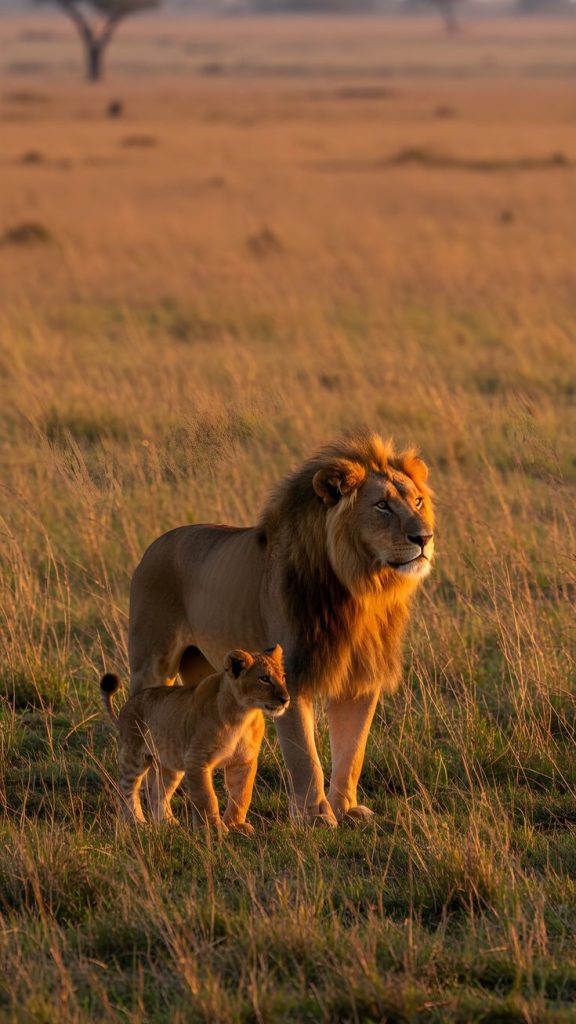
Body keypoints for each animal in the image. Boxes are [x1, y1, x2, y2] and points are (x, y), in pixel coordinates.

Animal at [101, 645, 289, 833]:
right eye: (264, 678)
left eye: (283, 677)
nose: (286, 699)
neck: (244, 714)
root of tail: (127, 704)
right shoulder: (197, 758)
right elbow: (206, 797)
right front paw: (213, 829)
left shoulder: (244, 761)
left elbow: (242, 794)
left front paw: (235, 825)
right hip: (134, 756)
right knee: (126, 790)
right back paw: (136, 823)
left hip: (171, 764)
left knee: (158, 793)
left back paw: (167, 822)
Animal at [126, 431, 434, 826]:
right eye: (382, 505)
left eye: (417, 501)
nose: (424, 538)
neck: (363, 588)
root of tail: (155, 545)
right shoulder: (293, 677)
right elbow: (305, 758)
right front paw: (315, 817)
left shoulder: (361, 680)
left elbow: (352, 752)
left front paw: (346, 809)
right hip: (151, 665)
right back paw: (151, 817)